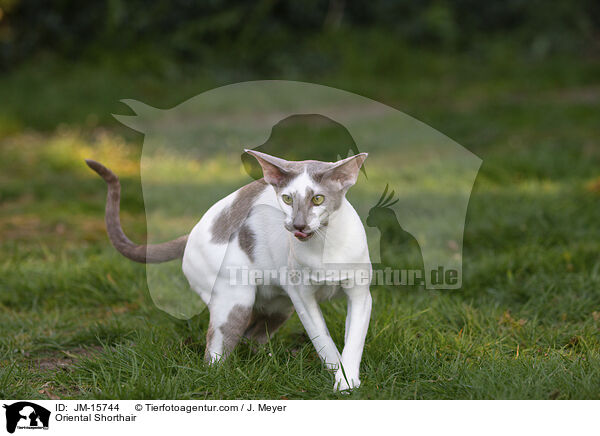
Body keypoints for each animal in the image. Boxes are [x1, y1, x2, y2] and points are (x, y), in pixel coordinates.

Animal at [86, 151, 372, 392]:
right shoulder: (303, 298)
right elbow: (324, 341)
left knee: (252, 336)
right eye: (288, 199)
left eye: (318, 199)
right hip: (238, 300)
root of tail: (192, 232)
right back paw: (225, 378)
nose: (298, 225)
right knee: (215, 355)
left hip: (280, 306)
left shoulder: (359, 295)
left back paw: (268, 363)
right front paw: (341, 382)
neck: (324, 246)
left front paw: (347, 381)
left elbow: (352, 341)